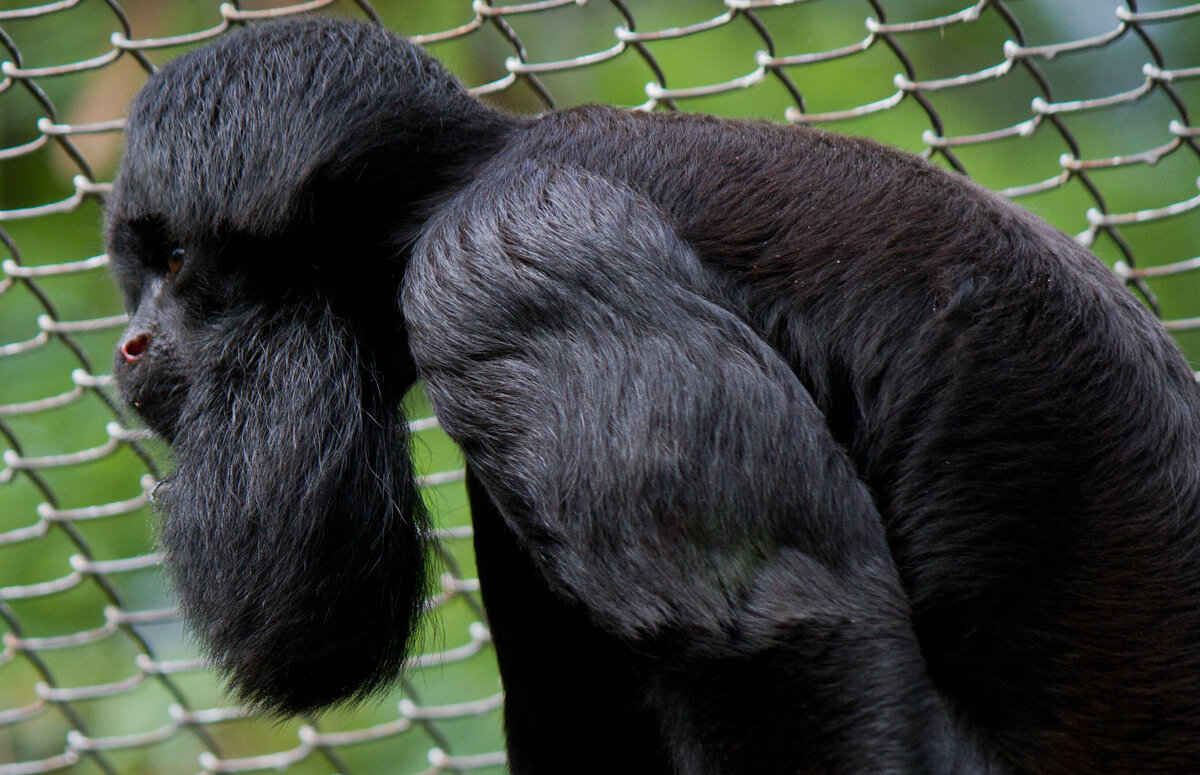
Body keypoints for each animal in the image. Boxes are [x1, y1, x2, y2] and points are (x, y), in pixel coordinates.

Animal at [108, 16, 1200, 775]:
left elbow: (785, 626)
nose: (132, 342)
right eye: (142, 274)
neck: (485, 166)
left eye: (176, 262)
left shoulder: (509, 261)